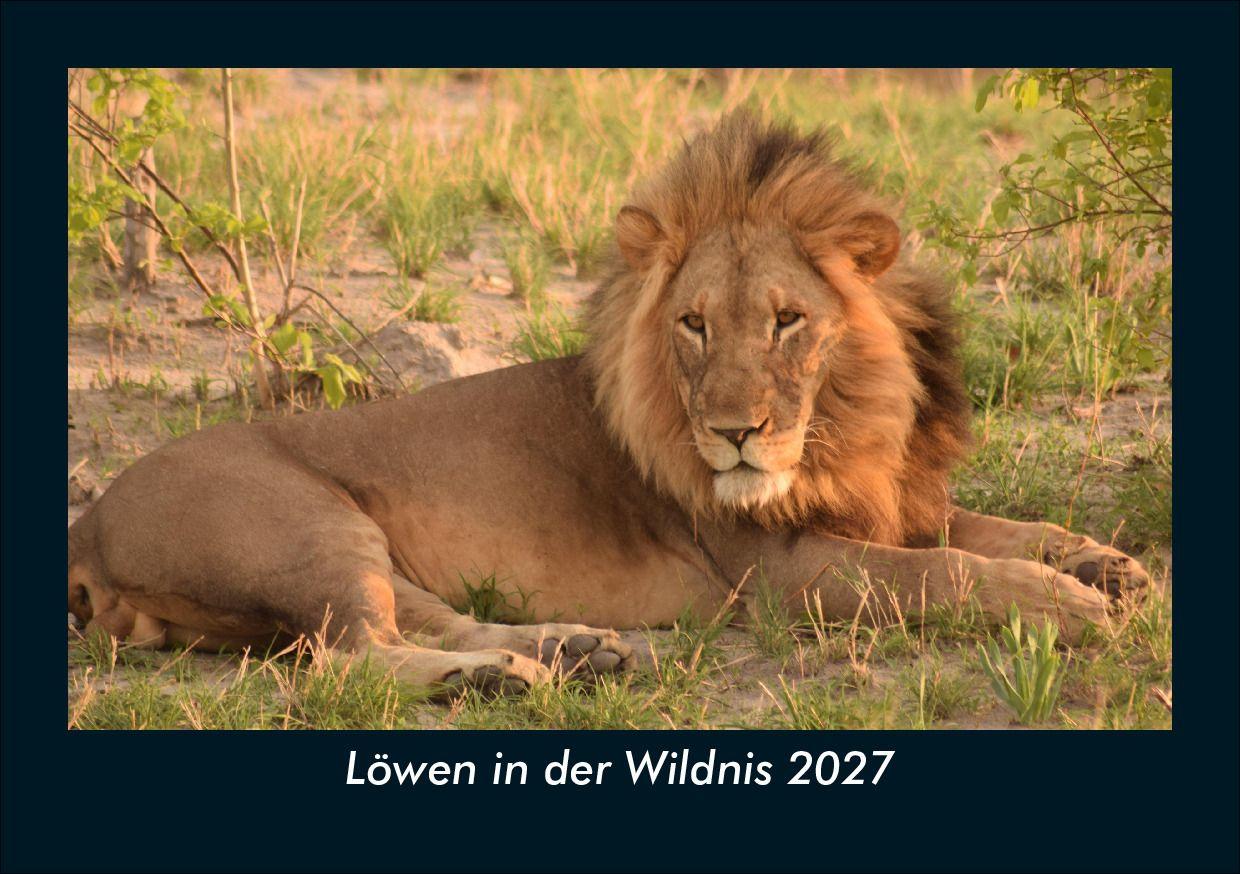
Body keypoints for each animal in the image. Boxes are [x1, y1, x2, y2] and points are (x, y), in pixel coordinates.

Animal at [67, 112, 1149, 696]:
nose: (734, 435)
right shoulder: (778, 571)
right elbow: (942, 573)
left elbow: (994, 526)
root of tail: (89, 520)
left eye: (788, 320)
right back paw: (493, 682)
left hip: (351, 546)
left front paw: (1104, 564)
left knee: (418, 622)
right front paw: (1065, 606)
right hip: (305, 527)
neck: (851, 423)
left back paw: (573, 651)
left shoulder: (897, 502)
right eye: (695, 325)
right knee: (349, 656)